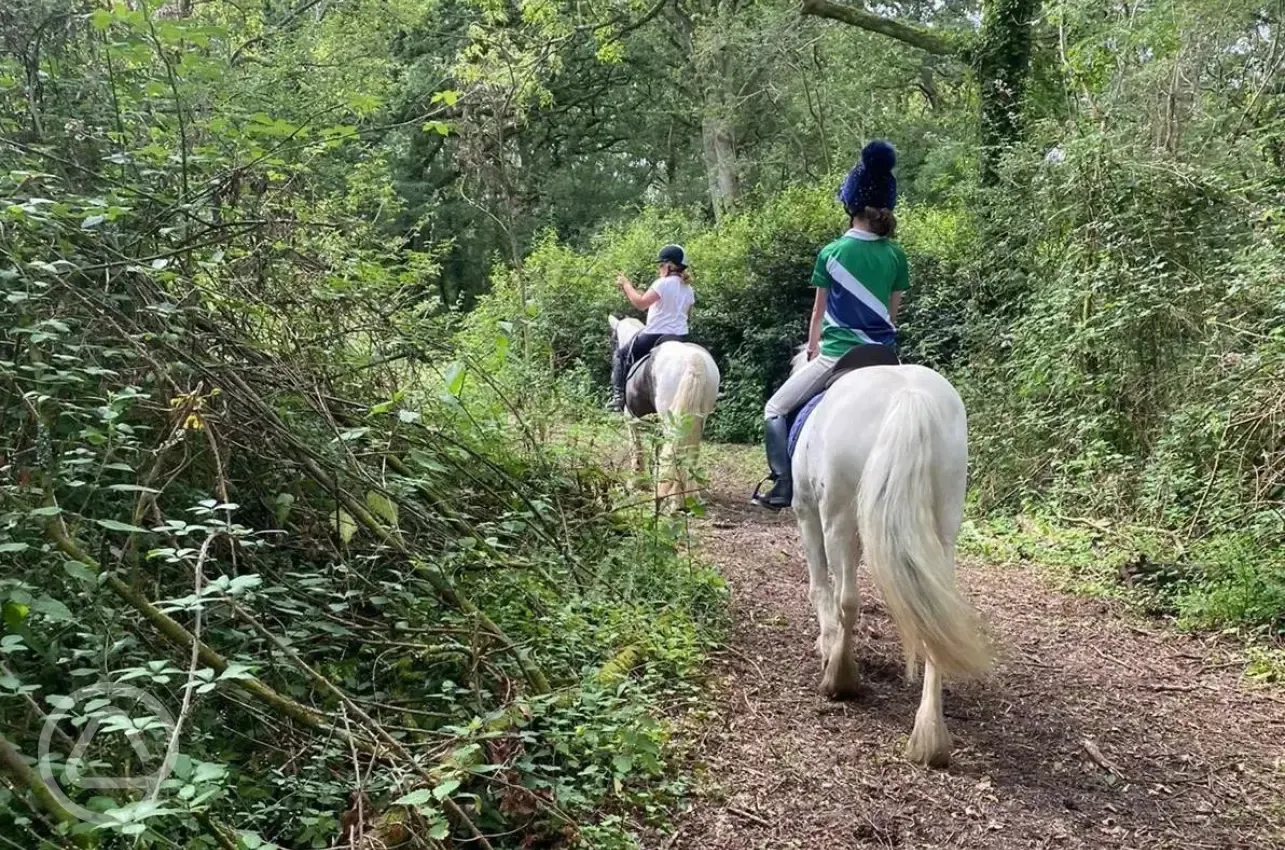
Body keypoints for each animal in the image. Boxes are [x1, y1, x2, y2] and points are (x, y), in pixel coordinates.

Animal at [606, 315, 719, 506]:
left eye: (614, 341)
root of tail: (694, 359)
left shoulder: (630, 418)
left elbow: (637, 447)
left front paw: (637, 480)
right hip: (698, 419)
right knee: (691, 451)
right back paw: (688, 495)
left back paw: (672, 498)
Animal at [791, 347, 992, 766]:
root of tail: (909, 395)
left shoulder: (806, 511)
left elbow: (820, 585)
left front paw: (825, 645)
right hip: (944, 525)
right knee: (933, 613)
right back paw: (930, 735)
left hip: (837, 515)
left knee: (847, 598)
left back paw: (840, 678)